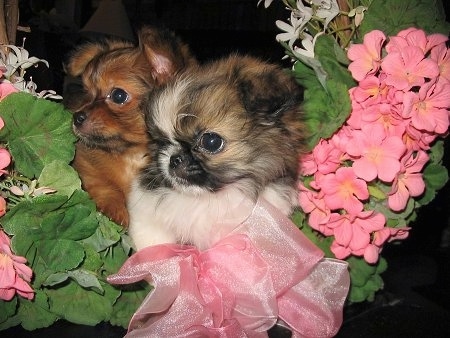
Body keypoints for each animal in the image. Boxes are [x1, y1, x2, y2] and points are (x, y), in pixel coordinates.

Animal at [64, 27, 196, 226]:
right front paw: (115, 210)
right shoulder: (85, 164)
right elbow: (101, 183)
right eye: (87, 93)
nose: (76, 117)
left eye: (118, 95)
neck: (133, 155)